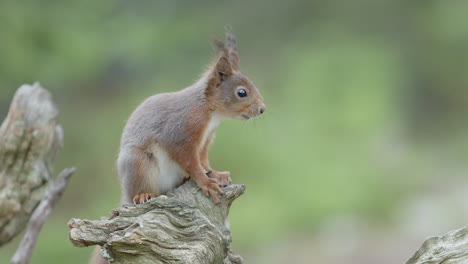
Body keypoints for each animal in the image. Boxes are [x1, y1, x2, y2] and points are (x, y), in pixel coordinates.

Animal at [118, 30, 264, 204]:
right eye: (242, 92)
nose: (262, 109)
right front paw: (206, 182)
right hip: (138, 162)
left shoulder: (206, 139)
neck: (210, 111)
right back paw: (143, 194)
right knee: (138, 188)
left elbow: (203, 161)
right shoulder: (182, 132)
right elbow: (190, 161)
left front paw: (216, 174)